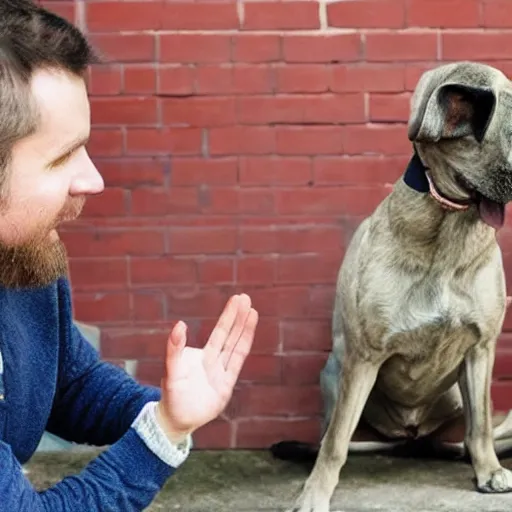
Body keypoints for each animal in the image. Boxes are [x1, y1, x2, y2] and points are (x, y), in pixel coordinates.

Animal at [272, 62, 512, 510]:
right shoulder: (364, 358)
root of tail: (409, 433)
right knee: (330, 436)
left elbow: (481, 427)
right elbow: (336, 443)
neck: (446, 226)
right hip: (334, 371)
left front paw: (488, 471)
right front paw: (315, 494)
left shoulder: (481, 349)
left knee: (466, 436)